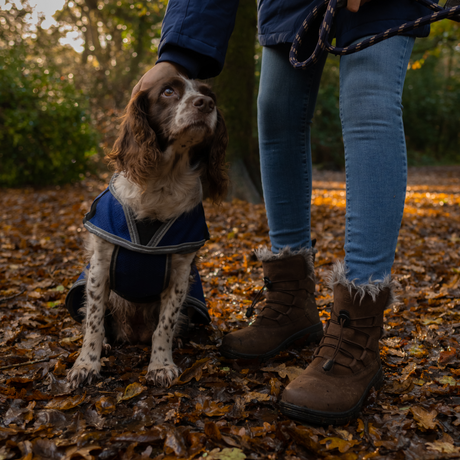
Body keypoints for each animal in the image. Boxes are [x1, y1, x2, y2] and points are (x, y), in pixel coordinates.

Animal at [65, 69, 227, 388]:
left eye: (208, 94)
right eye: (168, 91)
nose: (205, 104)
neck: (163, 182)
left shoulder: (180, 272)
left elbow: (164, 325)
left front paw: (161, 365)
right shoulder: (99, 267)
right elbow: (94, 323)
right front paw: (86, 365)